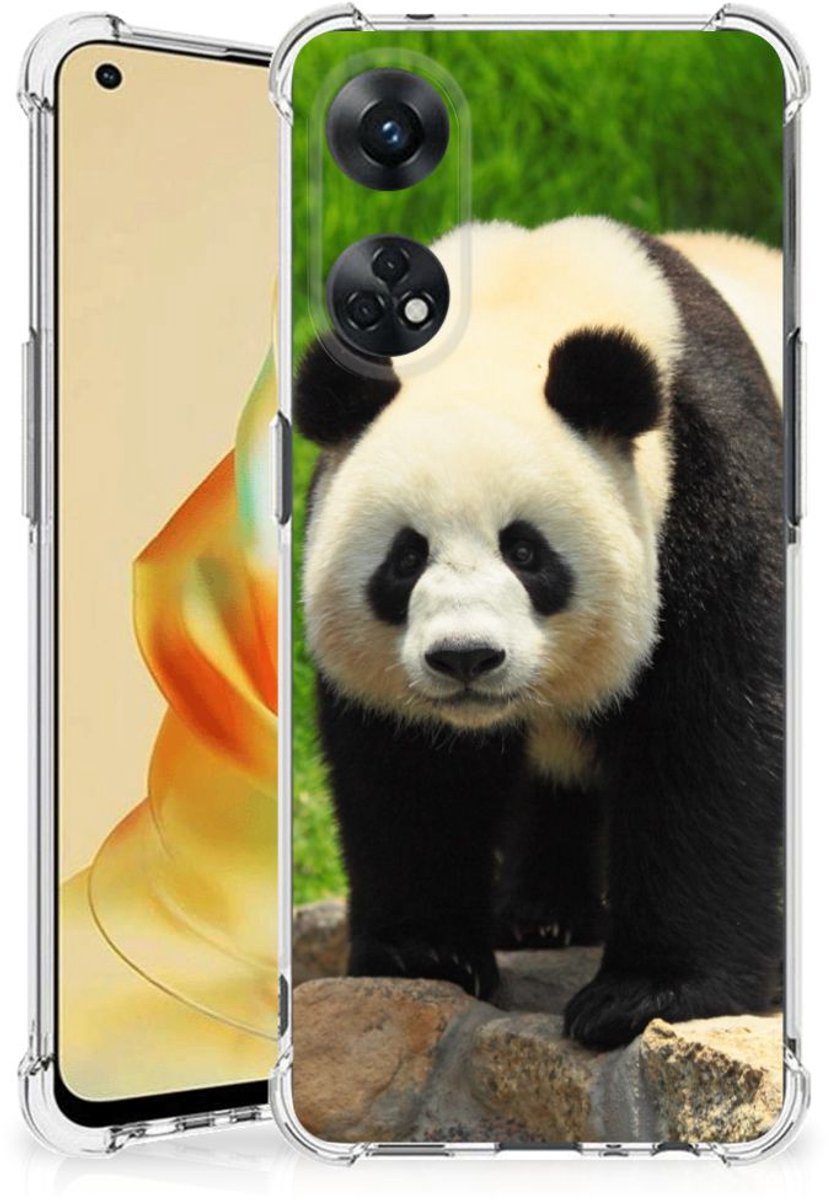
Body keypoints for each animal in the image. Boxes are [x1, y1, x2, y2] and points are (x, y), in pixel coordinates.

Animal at [294, 217, 784, 1050]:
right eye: (405, 558)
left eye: (525, 552)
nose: (465, 657)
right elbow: (408, 770)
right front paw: (425, 954)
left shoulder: (711, 484)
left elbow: (710, 738)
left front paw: (645, 993)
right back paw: (541, 916)